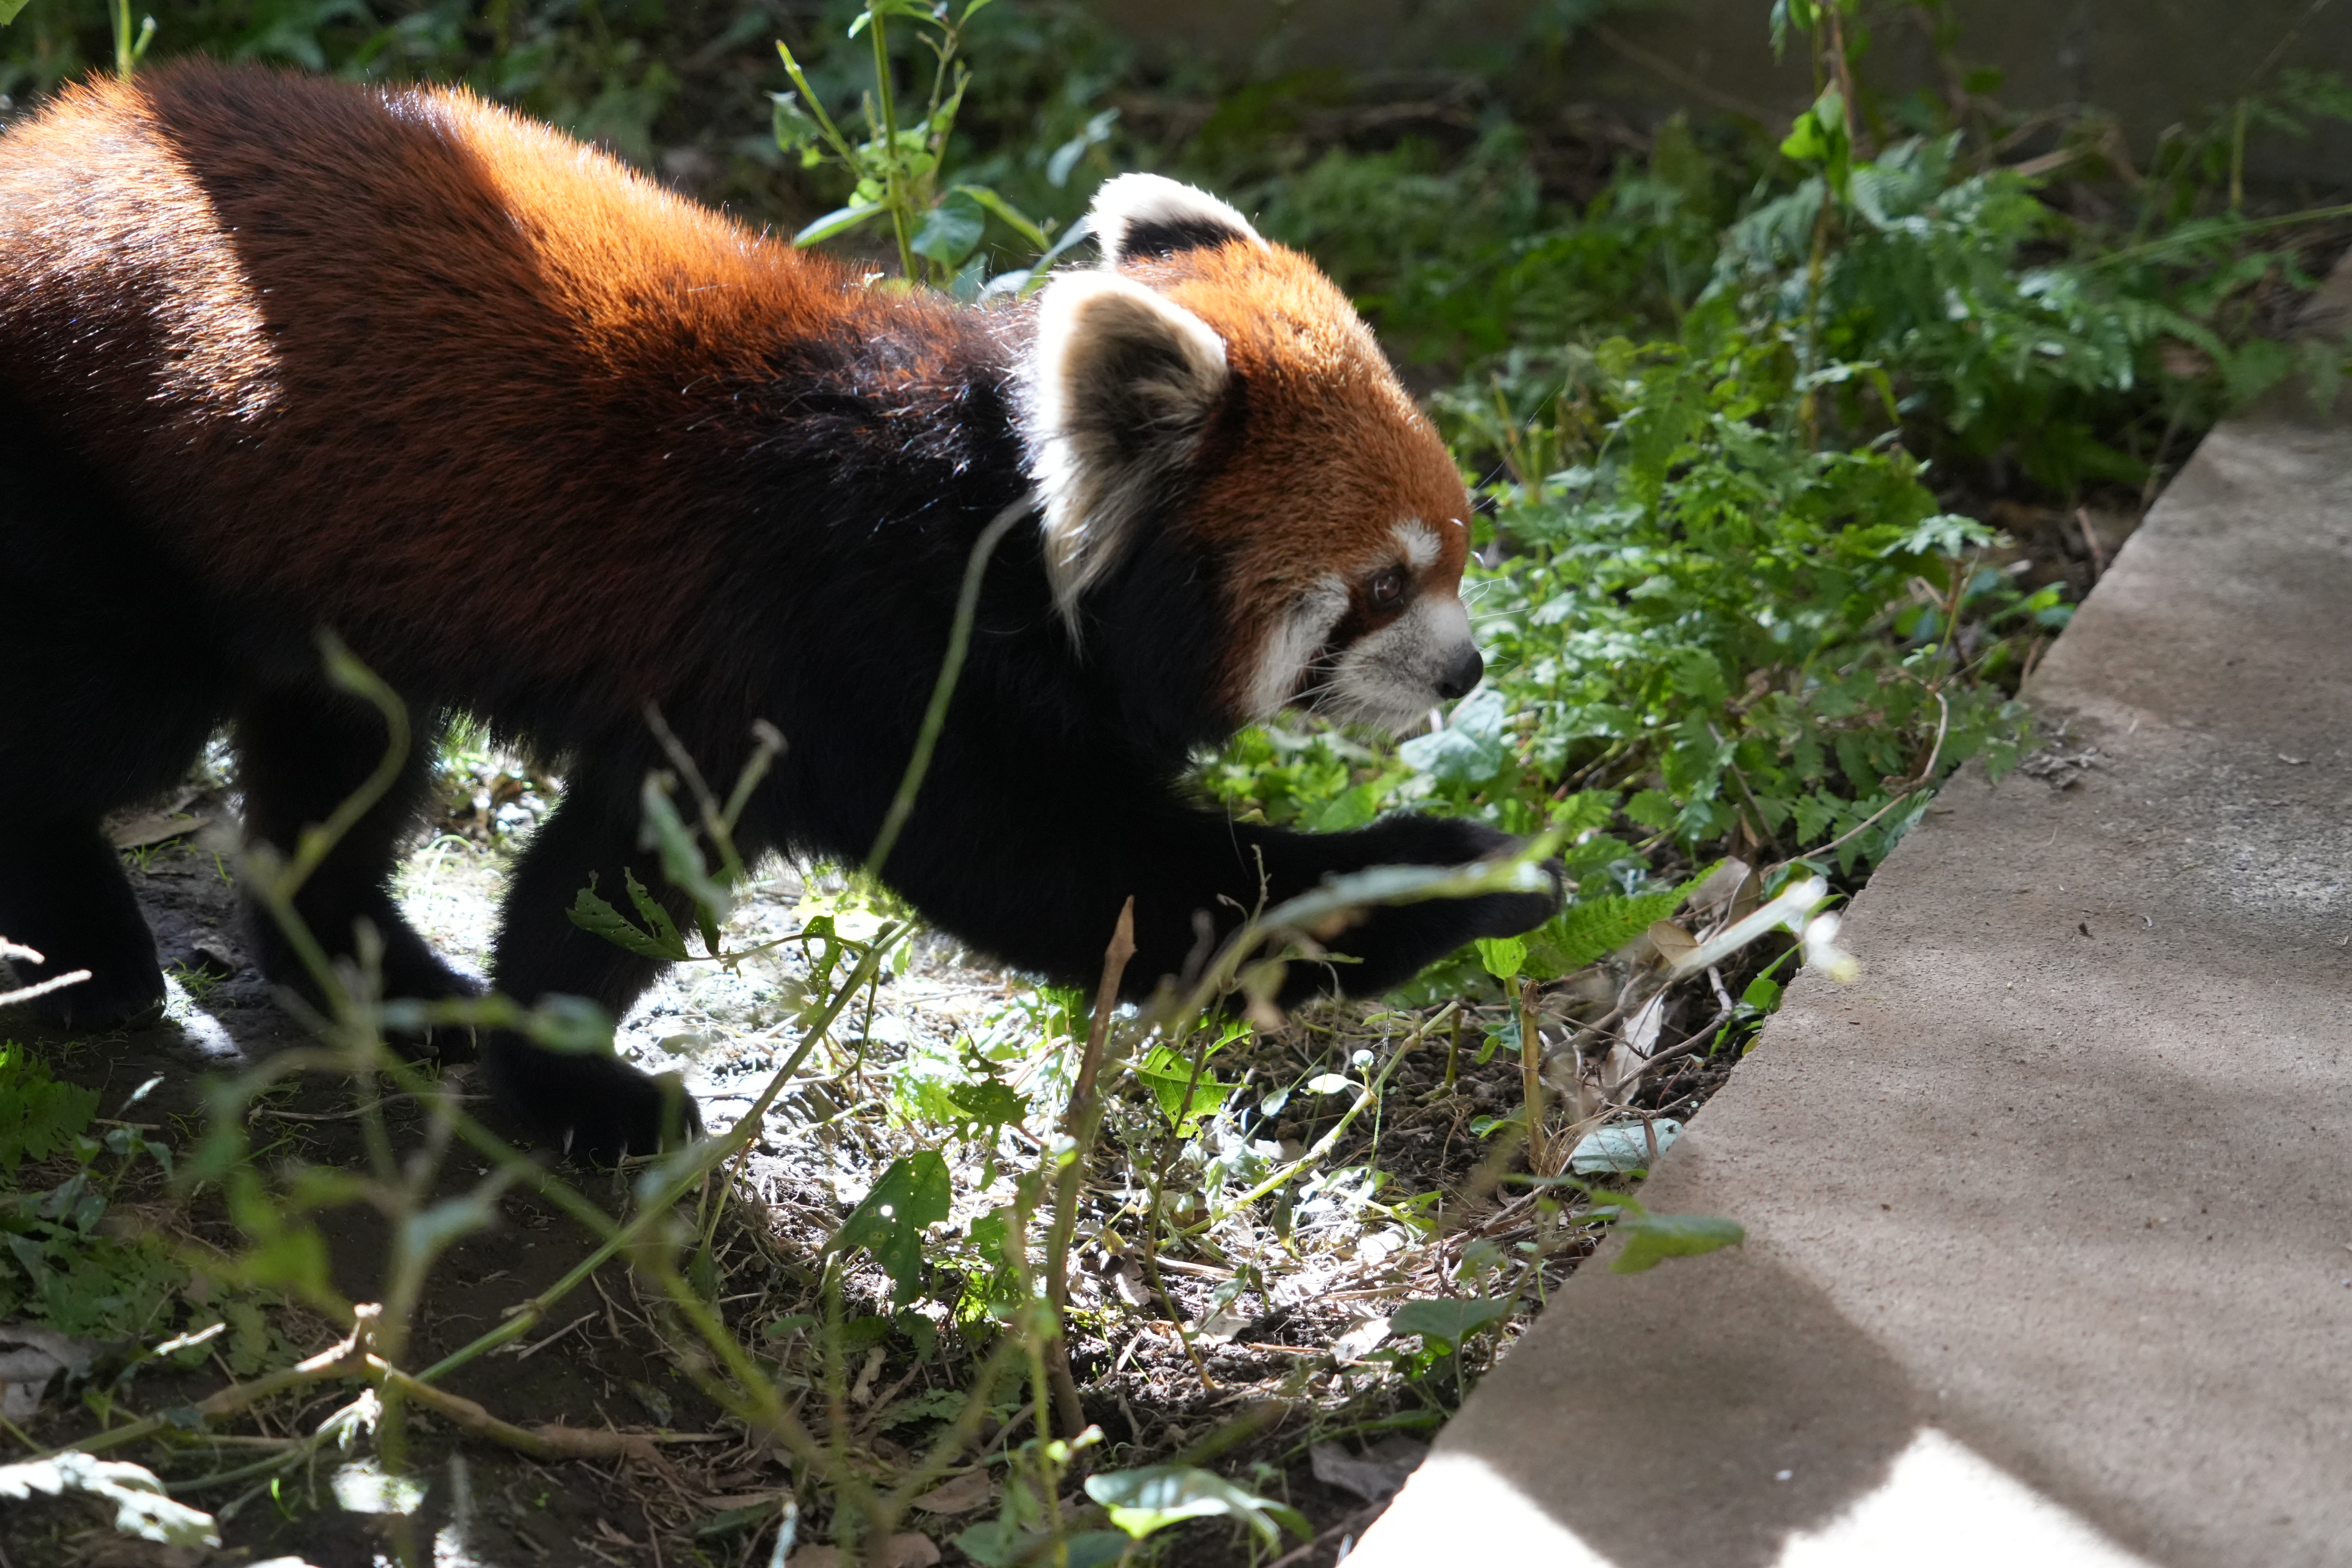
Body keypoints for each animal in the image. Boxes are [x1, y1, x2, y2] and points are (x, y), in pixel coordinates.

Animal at [0, 61, 1562, 1161]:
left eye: (1458, 551)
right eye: (1382, 585)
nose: (1469, 672)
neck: (987, 510)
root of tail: (45, 141)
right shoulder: (852, 647)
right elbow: (1080, 879)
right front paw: (1460, 875)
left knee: (340, 757)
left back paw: (367, 974)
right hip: (94, 498)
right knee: (100, 728)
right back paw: (90, 947)